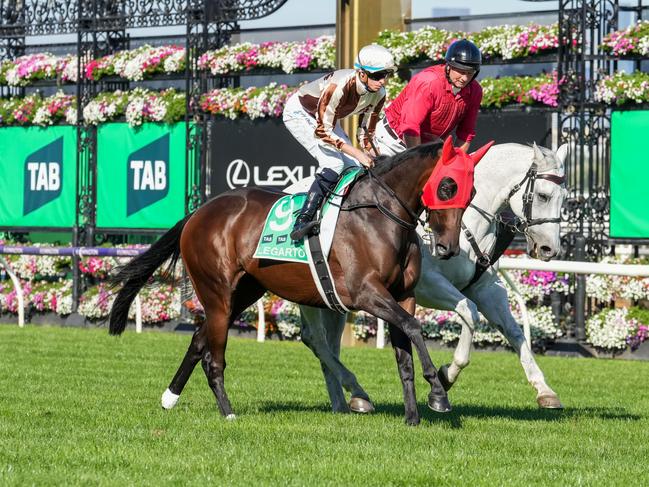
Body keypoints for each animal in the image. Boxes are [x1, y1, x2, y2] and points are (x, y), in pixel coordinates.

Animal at [107, 139, 486, 426]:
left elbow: (405, 349)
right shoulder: (365, 293)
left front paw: (413, 415)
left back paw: (170, 398)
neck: (380, 214)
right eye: (447, 186)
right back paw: (228, 412)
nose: (449, 248)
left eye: (472, 191)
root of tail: (198, 212)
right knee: (214, 356)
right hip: (217, 292)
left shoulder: (402, 295)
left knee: (199, 340)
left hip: (245, 291)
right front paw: (438, 392)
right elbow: (415, 328)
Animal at [300, 143, 568, 414]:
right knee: (315, 338)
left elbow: (514, 331)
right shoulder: (430, 285)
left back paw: (345, 400)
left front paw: (544, 390)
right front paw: (446, 376)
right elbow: (469, 311)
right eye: (543, 195)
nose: (550, 249)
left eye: (565, 197)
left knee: (326, 341)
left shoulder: (487, 288)